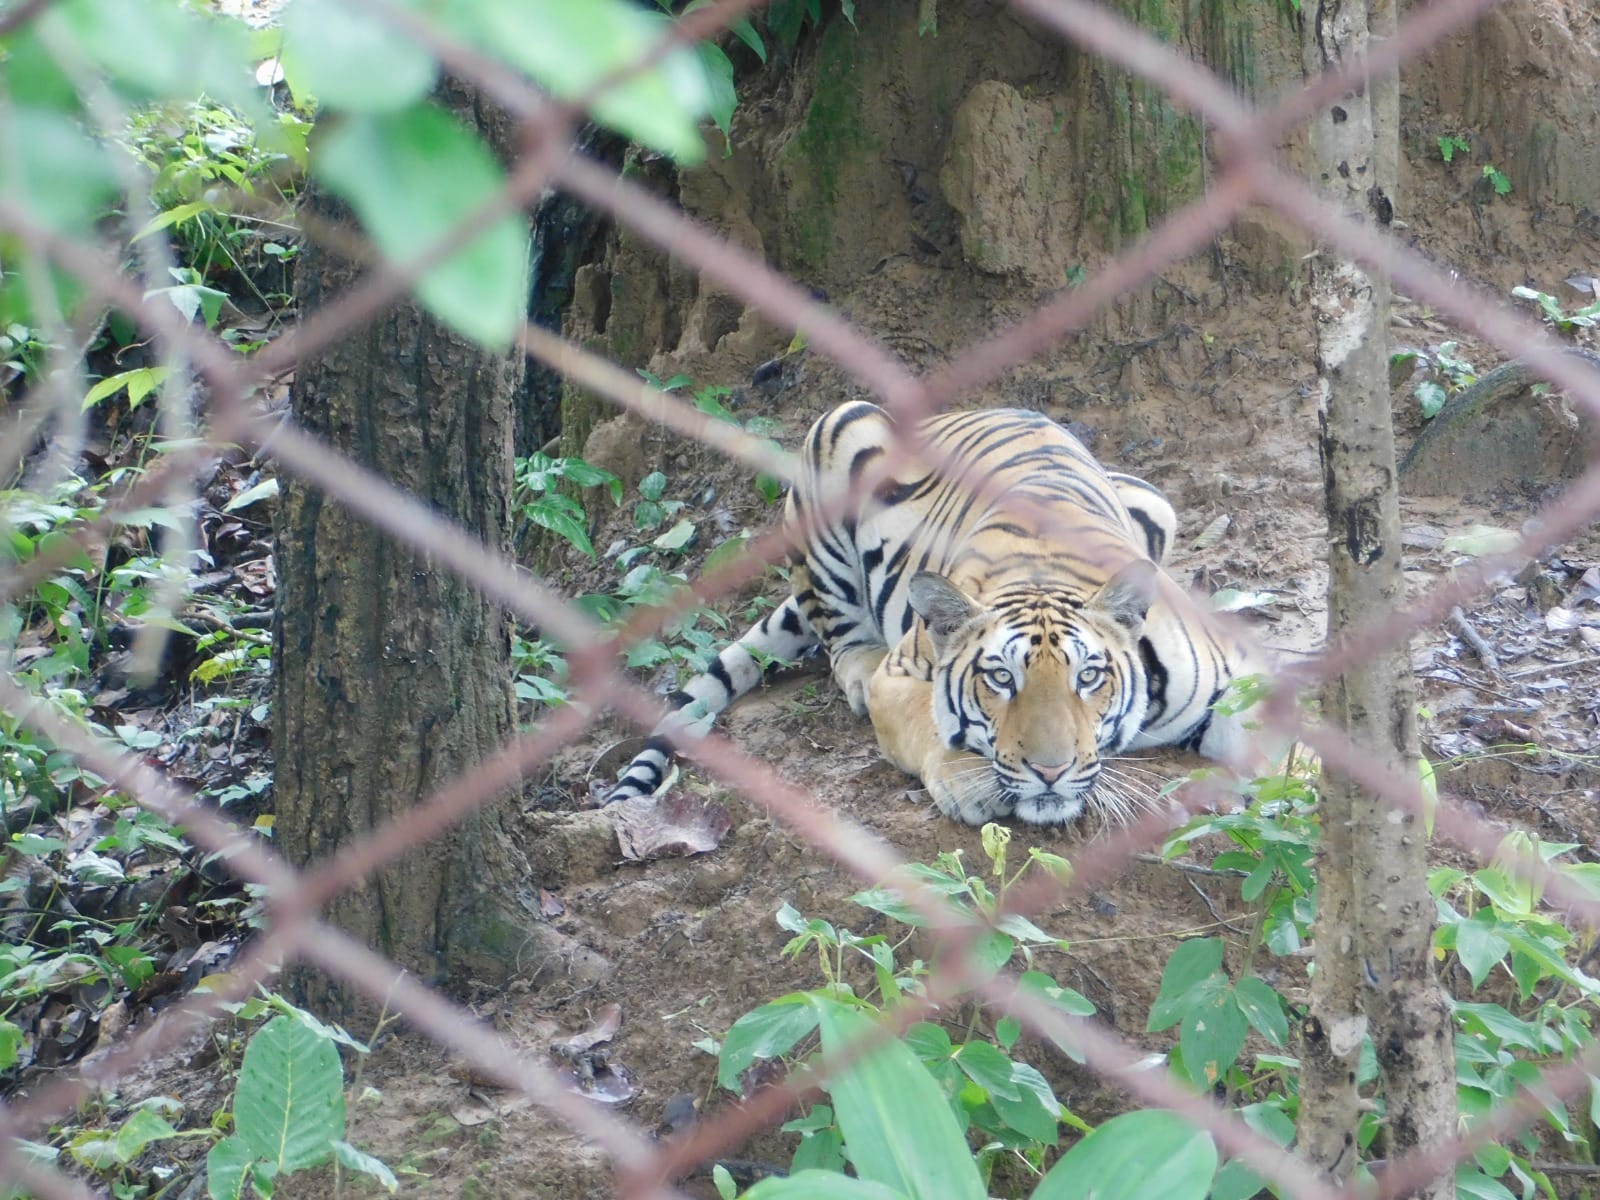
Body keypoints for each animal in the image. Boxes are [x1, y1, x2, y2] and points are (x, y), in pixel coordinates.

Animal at [603, 401, 1266, 826]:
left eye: (1089, 677)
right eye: (1000, 678)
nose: (1050, 772)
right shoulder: (899, 676)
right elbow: (925, 717)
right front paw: (966, 779)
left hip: (1154, 500)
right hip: (835, 432)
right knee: (840, 640)